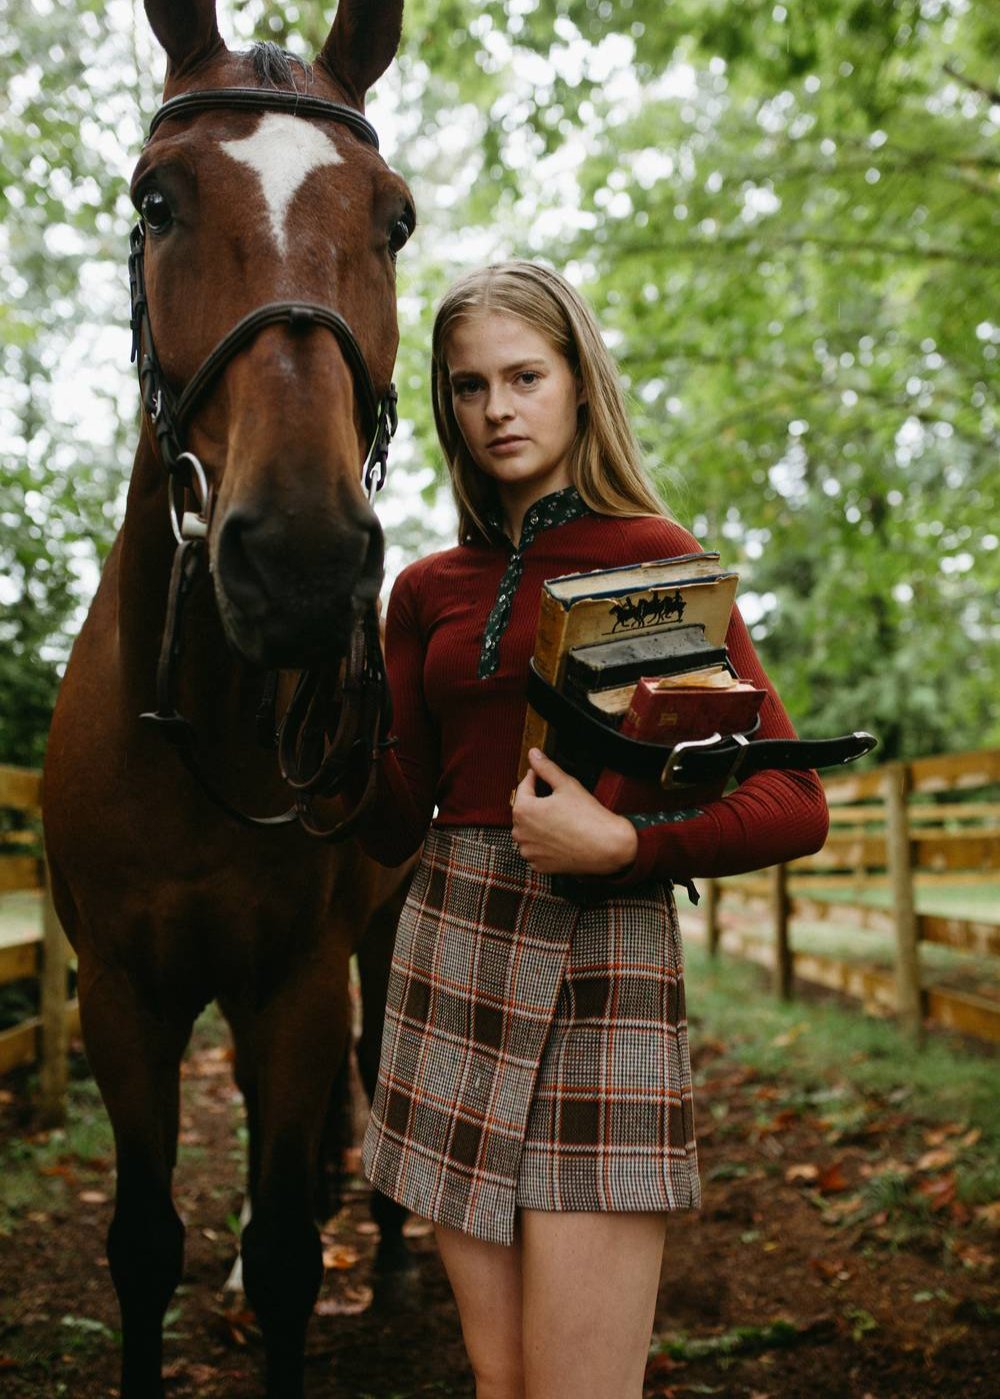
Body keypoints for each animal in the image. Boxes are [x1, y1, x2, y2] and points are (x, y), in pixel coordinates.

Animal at [42, 5, 413, 1393]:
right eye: (156, 200)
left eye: (395, 219)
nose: (301, 556)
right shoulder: (120, 994)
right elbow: (145, 1245)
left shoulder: (297, 980)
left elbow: (294, 1251)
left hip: (379, 935)